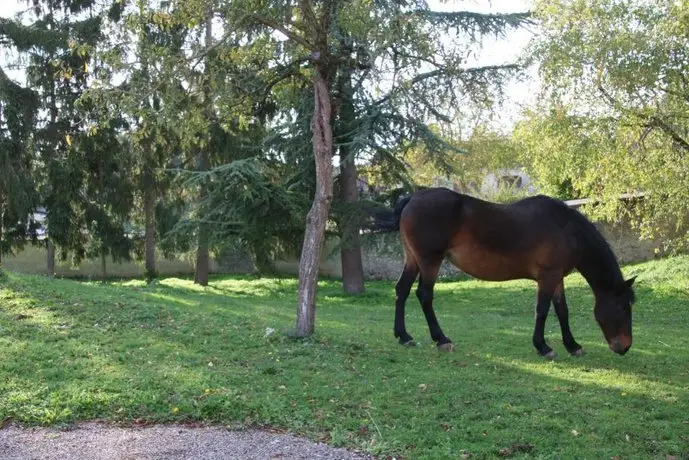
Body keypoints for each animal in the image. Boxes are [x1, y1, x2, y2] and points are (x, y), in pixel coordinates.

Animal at [370, 188, 636, 360]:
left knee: (401, 291)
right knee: (424, 295)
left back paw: (404, 336)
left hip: (412, 259)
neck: (566, 228)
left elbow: (562, 311)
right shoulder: (547, 277)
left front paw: (572, 345)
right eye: (623, 307)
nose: (624, 347)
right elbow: (542, 310)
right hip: (430, 261)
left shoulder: (557, 277)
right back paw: (442, 340)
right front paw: (543, 347)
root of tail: (413, 198)